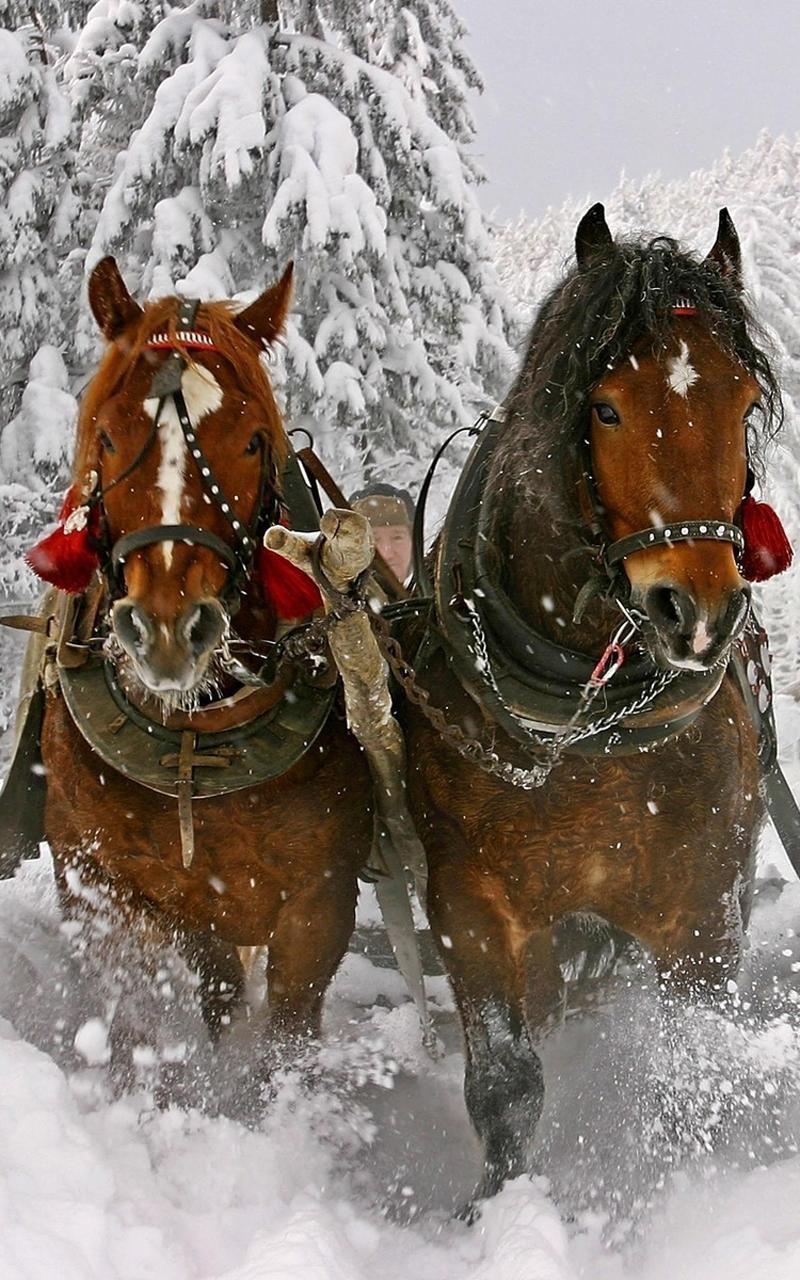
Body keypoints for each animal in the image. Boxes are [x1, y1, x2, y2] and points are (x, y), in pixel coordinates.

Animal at [28, 258, 372, 1091]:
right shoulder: (101, 884)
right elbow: (131, 1021)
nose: (167, 631)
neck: (193, 734)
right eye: (108, 433)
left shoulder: (319, 901)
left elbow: (288, 1034)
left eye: (252, 442)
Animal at [404, 206, 787, 1201]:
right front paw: (495, 1210)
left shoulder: (701, 915)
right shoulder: (469, 906)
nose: (698, 611)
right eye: (606, 407)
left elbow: (688, 1073)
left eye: (743, 403)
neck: (587, 728)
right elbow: (506, 1084)